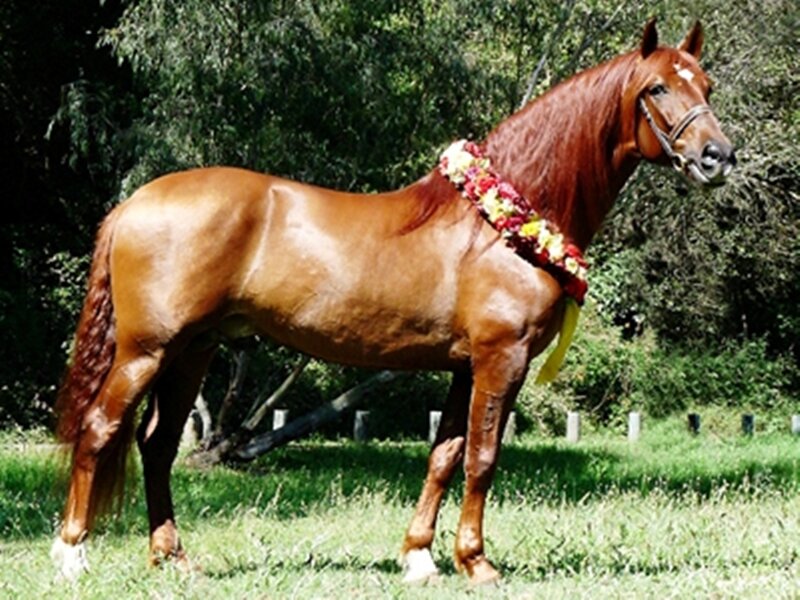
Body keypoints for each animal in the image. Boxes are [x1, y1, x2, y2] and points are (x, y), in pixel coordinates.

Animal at [51, 19, 735, 584]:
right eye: (656, 88)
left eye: (705, 83)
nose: (718, 157)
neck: (500, 222)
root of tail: (135, 201)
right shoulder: (501, 359)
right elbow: (482, 458)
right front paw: (477, 564)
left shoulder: (465, 368)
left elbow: (445, 455)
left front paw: (420, 558)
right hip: (147, 350)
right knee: (100, 430)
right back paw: (71, 554)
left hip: (193, 350)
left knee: (158, 444)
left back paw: (173, 558)